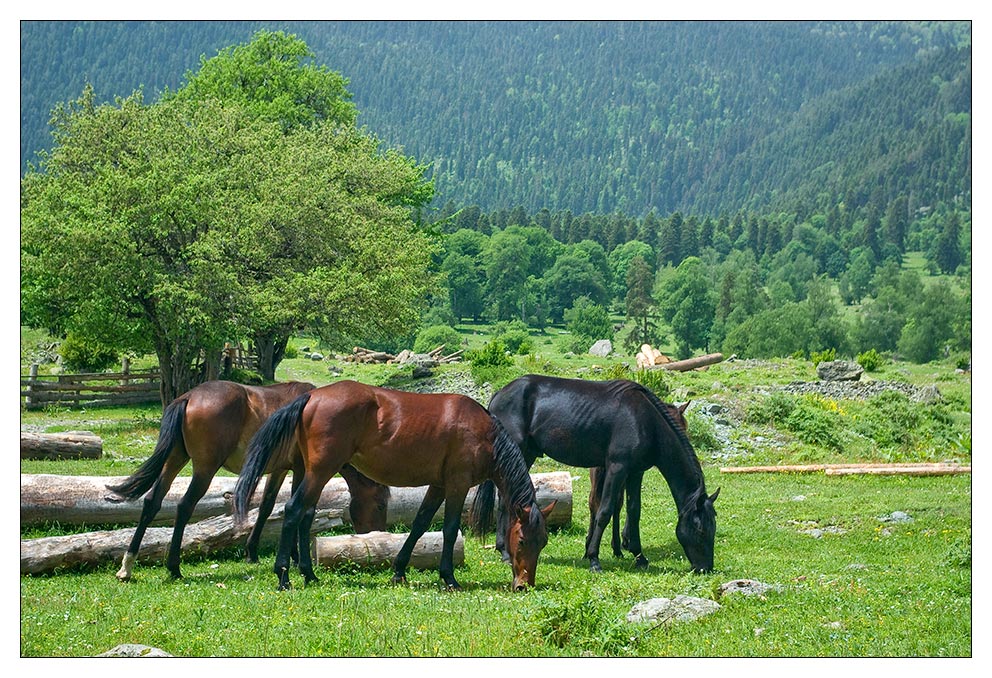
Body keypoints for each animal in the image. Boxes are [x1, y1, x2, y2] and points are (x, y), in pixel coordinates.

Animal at [106, 382, 390, 584]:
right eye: (380, 505)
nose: (376, 534)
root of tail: (188, 397)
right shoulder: (302, 470)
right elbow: (300, 510)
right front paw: (297, 561)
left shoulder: (279, 471)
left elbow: (267, 507)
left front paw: (255, 552)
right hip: (204, 469)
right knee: (184, 506)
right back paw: (174, 567)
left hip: (175, 459)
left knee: (152, 502)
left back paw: (127, 566)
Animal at [235, 382, 556, 596]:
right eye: (523, 541)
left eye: (543, 543)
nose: (524, 585)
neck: (484, 433)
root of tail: (312, 395)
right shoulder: (457, 485)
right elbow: (449, 529)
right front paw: (449, 578)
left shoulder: (438, 485)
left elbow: (420, 525)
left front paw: (399, 571)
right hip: (320, 471)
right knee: (293, 511)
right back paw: (284, 576)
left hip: (311, 472)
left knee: (305, 514)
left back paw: (309, 574)